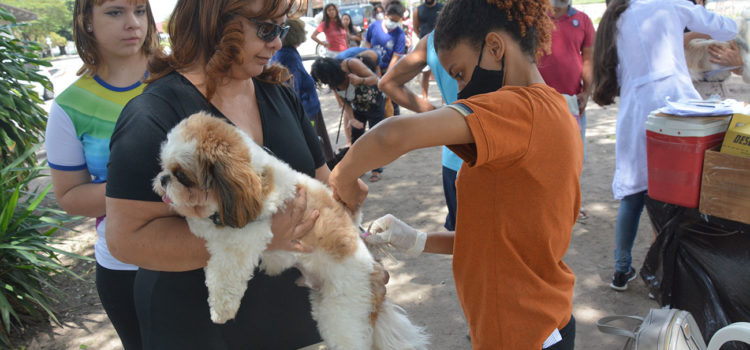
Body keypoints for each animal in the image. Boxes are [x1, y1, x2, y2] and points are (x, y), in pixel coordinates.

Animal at [153, 113, 428, 350]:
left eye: (182, 176)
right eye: (163, 166)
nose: (164, 179)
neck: (255, 177)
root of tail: (372, 274)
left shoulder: (245, 236)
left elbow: (225, 273)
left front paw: (221, 309)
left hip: (342, 314)